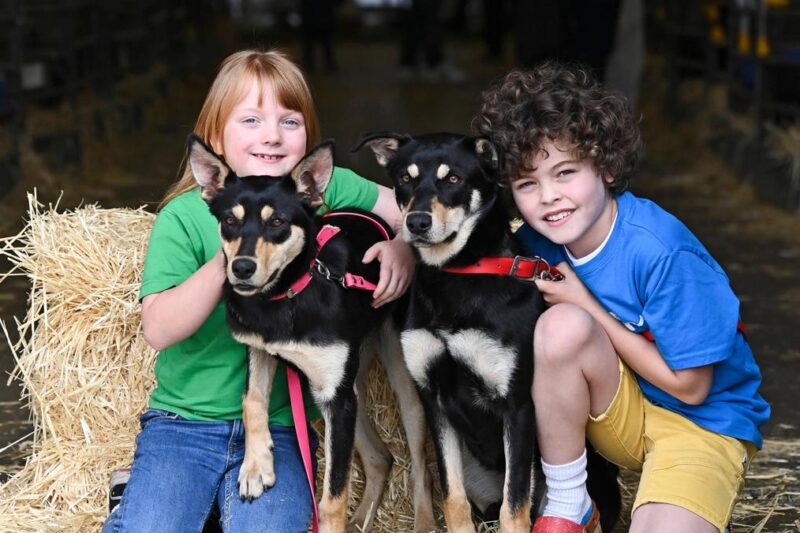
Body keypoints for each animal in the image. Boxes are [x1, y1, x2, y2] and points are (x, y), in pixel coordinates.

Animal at [188, 136, 434, 532]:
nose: (241, 268)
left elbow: (333, 495)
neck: (287, 295)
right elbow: (251, 401)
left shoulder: (337, 398)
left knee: (420, 464)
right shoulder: (266, 353)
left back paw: (423, 520)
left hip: (394, 379)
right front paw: (255, 468)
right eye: (229, 220)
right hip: (348, 389)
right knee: (380, 458)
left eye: (277, 222)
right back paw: (362, 519)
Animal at [354, 132, 620, 532]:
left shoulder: (517, 406)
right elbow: (453, 499)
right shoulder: (434, 399)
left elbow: (515, 508)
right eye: (405, 178)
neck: (456, 275)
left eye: (453, 179)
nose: (416, 222)